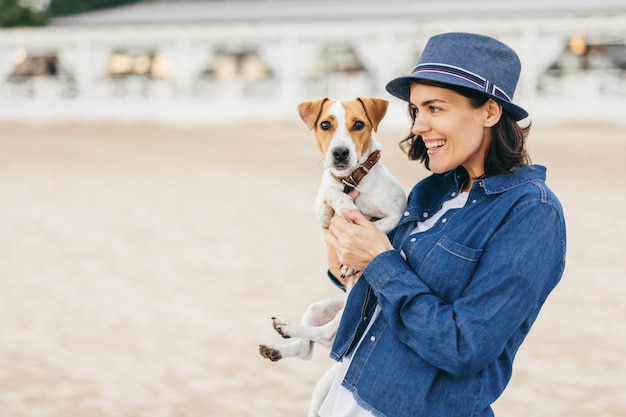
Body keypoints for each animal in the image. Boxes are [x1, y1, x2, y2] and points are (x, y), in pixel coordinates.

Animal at [258, 98, 404, 416]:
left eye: (358, 124)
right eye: (325, 124)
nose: (339, 153)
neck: (352, 180)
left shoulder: (398, 209)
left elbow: (378, 227)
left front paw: (351, 257)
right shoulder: (323, 210)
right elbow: (330, 195)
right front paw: (343, 203)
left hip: (347, 311)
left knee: (323, 334)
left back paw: (286, 327)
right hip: (319, 307)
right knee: (305, 348)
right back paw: (278, 345)